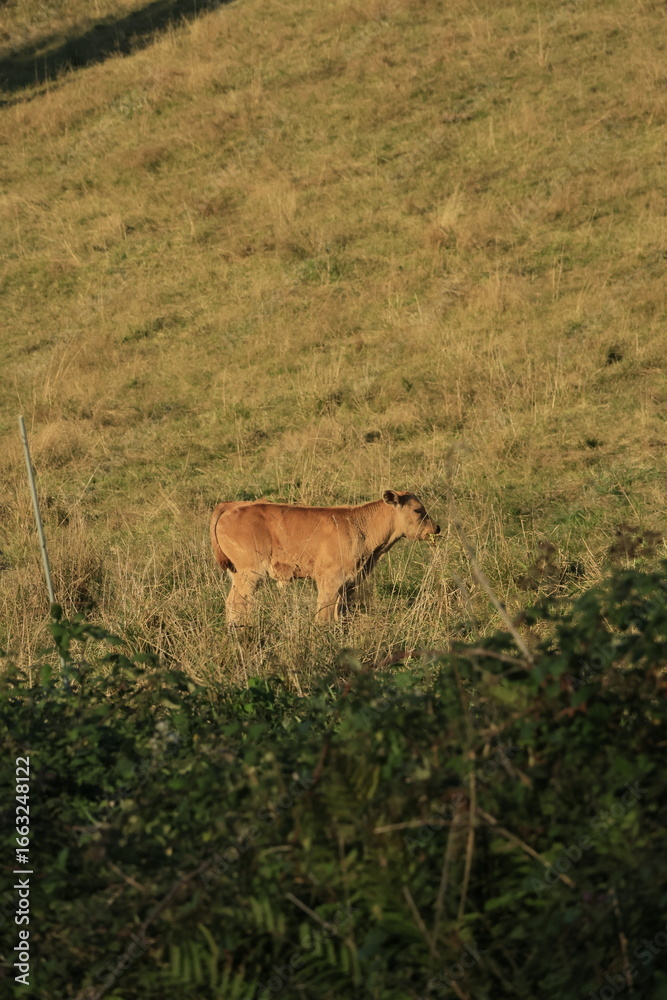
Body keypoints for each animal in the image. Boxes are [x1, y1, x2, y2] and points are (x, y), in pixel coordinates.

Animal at [210, 490, 440, 626]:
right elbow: (325, 612)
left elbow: (342, 610)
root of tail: (233, 505)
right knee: (237, 602)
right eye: (418, 510)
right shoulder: (329, 579)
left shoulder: (350, 581)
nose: (436, 528)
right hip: (250, 573)